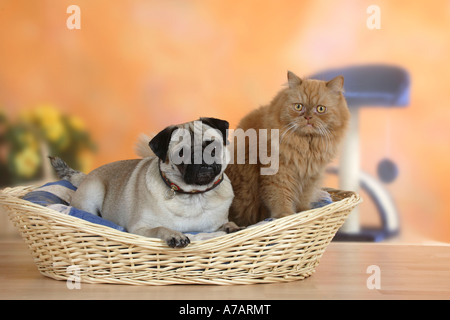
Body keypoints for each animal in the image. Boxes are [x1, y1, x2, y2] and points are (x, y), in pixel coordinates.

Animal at [227, 70, 350, 225]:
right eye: (298, 106)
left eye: (320, 109)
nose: (308, 117)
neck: (306, 146)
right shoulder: (278, 174)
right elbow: (280, 198)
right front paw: (285, 216)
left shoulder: (310, 178)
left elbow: (303, 201)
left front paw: (304, 213)